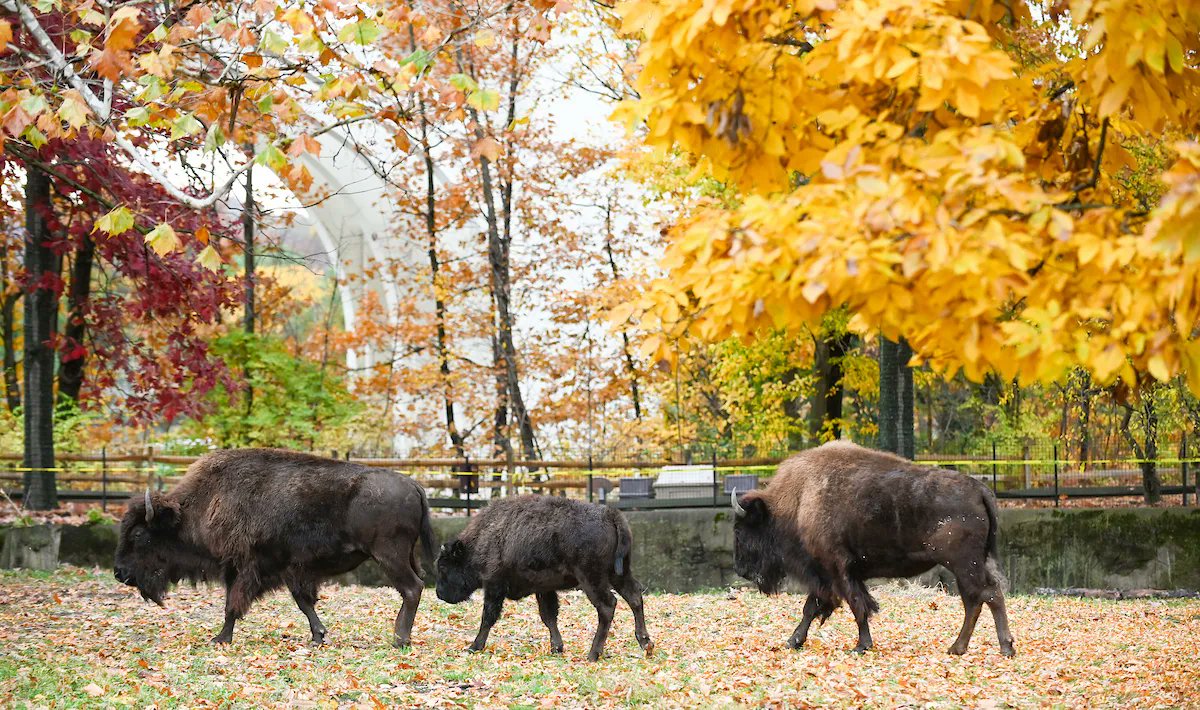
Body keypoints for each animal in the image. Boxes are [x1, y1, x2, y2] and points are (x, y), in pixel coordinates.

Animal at [113, 448, 435, 647]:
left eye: (139, 535)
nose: (119, 572)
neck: (204, 505)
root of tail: (414, 485)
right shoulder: (287, 569)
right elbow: (304, 602)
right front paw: (318, 636)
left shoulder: (249, 567)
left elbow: (233, 605)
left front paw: (220, 639)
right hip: (403, 555)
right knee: (414, 586)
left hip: (389, 556)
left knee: (412, 588)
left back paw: (400, 639)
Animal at [435, 495, 653, 661]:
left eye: (444, 566)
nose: (439, 593)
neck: (481, 540)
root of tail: (611, 514)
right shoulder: (545, 589)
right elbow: (549, 616)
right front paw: (557, 647)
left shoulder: (494, 586)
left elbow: (488, 617)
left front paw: (474, 646)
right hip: (619, 573)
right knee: (634, 596)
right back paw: (646, 643)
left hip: (591, 579)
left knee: (608, 605)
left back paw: (593, 654)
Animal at [731, 440, 1015, 657]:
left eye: (740, 530)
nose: (741, 570)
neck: (799, 500)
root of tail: (979, 488)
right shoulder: (829, 574)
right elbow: (813, 607)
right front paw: (793, 641)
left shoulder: (836, 569)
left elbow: (856, 606)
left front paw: (861, 646)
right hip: (969, 565)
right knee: (977, 598)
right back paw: (961, 648)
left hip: (963, 563)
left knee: (986, 594)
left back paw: (1000, 648)